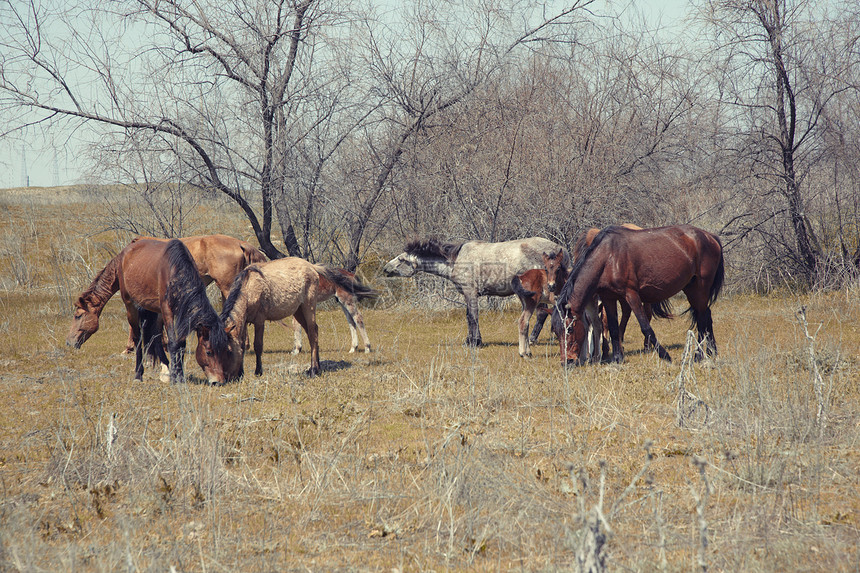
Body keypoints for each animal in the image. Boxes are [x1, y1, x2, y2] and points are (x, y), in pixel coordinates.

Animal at [66, 237, 239, 384]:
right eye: (209, 352)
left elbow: (178, 342)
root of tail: (126, 252)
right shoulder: (166, 310)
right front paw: (175, 377)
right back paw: (138, 374)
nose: (218, 381)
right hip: (131, 305)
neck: (175, 270)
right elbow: (173, 341)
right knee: (138, 337)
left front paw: (176, 374)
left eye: (225, 350)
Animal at [220, 258, 368, 376]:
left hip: (312, 307)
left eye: (228, 351)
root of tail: (312, 267)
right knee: (316, 331)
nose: (225, 377)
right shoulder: (244, 322)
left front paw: (258, 371)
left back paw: (314, 369)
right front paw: (241, 372)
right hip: (300, 311)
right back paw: (319, 365)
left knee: (315, 333)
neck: (249, 288)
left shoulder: (260, 321)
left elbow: (258, 345)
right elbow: (242, 344)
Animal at [382, 236, 572, 346]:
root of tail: (561, 250)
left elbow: (472, 317)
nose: (385, 269)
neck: (455, 261)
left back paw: (532, 339)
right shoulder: (468, 295)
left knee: (542, 313)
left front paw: (475, 342)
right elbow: (469, 316)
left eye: (401, 260)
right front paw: (471, 340)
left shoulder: (470, 293)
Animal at [552, 225, 724, 364]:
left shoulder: (631, 295)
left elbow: (646, 327)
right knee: (705, 315)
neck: (608, 257)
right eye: (556, 332)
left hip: (700, 288)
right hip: (691, 289)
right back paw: (711, 351)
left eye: (570, 329)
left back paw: (699, 355)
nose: (567, 362)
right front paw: (617, 359)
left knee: (702, 319)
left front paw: (665, 355)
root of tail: (710, 236)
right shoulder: (608, 298)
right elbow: (613, 328)